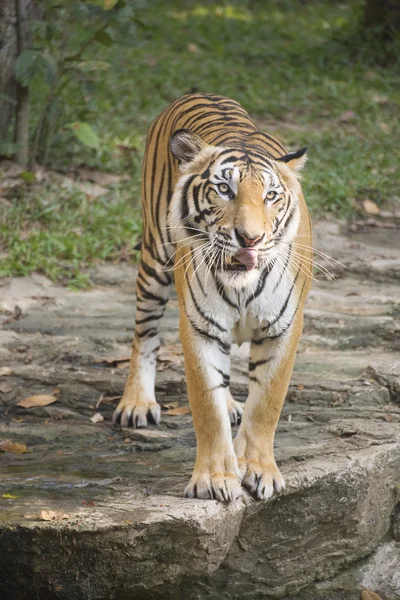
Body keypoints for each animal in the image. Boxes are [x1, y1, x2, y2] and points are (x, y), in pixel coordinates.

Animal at [112, 92, 312, 502]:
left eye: (270, 196)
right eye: (224, 190)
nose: (249, 238)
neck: (242, 285)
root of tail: (200, 93)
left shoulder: (284, 327)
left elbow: (266, 404)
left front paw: (258, 469)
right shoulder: (200, 327)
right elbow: (207, 405)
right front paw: (215, 479)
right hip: (154, 259)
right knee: (144, 334)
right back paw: (137, 403)